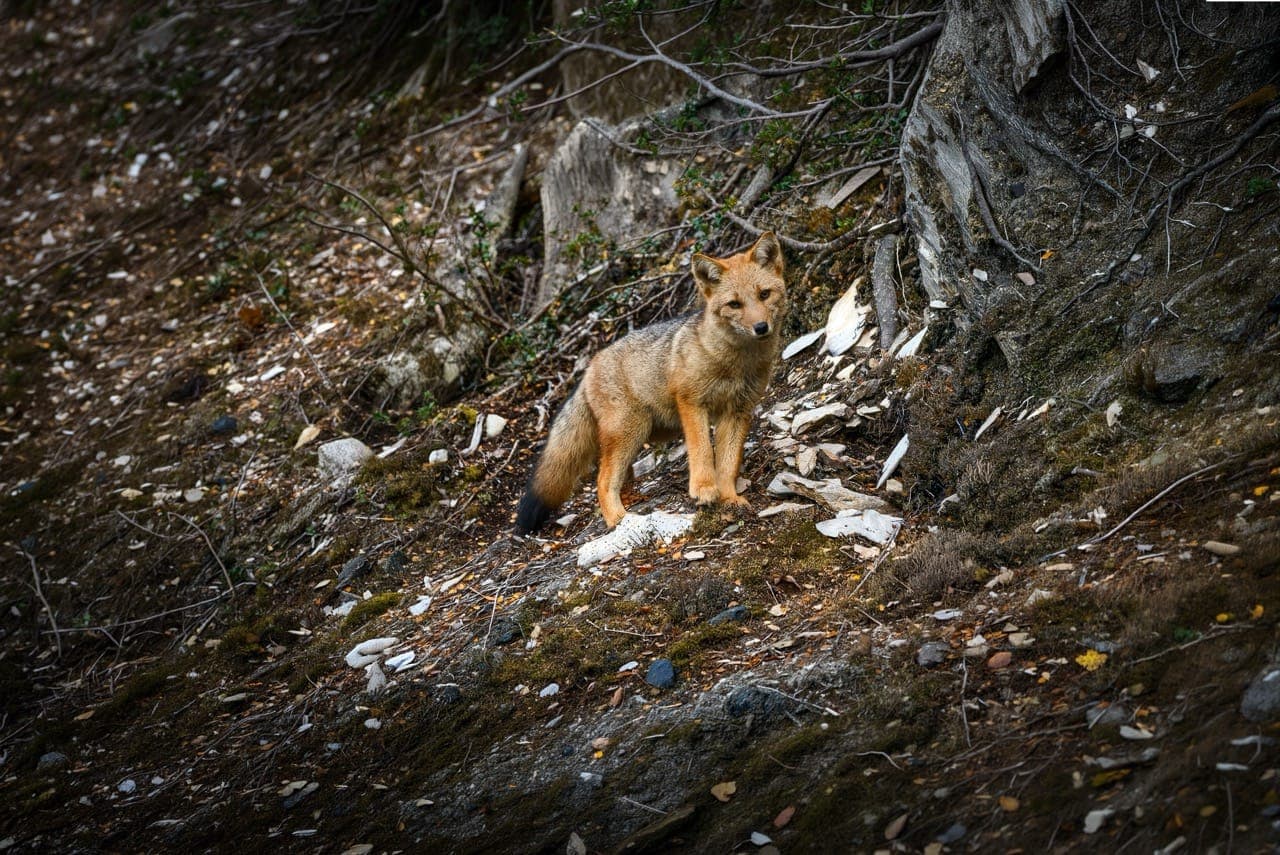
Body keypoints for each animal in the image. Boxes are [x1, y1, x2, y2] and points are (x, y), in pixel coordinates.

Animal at [515, 231, 788, 533]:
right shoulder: (691, 402)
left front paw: (730, 498)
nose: (761, 327)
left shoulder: (738, 411)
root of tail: (589, 367)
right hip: (631, 431)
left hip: (642, 433)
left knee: (621, 479)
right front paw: (704, 490)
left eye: (764, 294)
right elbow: (703, 452)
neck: (735, 363)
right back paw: (618, 519)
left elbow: (728, 464)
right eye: (735, 304)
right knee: (602, 481)